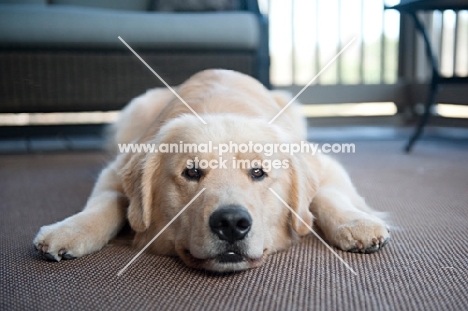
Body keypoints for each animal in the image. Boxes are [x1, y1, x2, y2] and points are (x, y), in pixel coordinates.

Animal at [33, 69, 392, 272]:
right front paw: (69, 229)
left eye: (258, 173)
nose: (231, 223)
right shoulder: (117, 168)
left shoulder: (323, 163)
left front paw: (356, 223)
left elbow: (327, 194)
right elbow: (106, 201)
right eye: (191, 173)